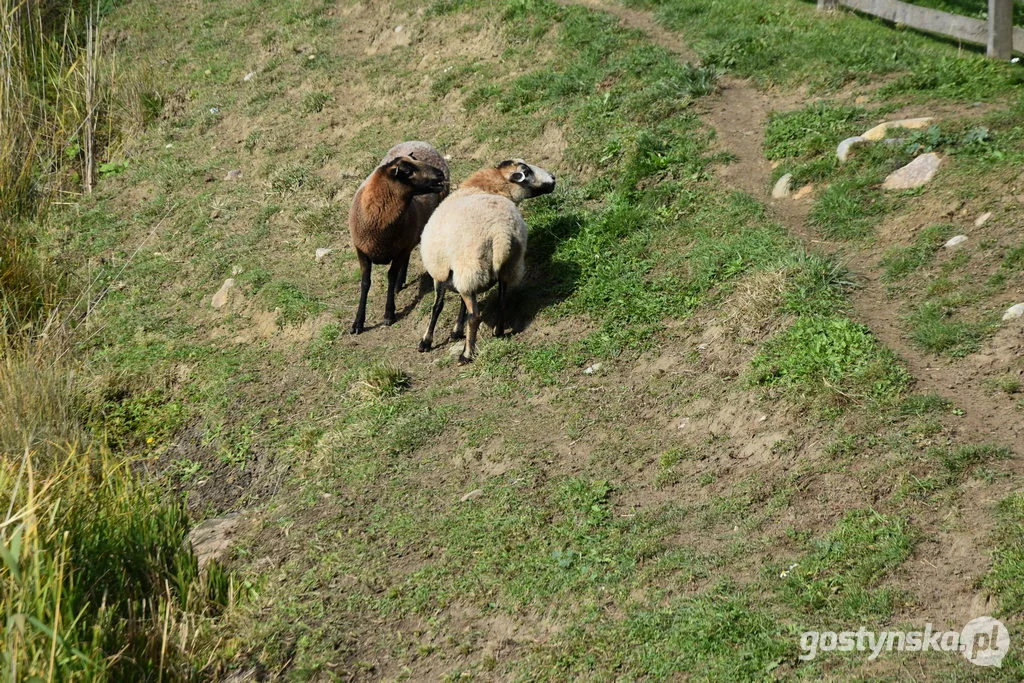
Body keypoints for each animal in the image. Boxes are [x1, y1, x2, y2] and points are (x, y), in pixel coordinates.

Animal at [348, 143, 448, 335]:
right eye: (408, 171)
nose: (440, 174)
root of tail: (421, 141)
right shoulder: (361, 250)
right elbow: (365, 283)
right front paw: (358, 323)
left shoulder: (401, 248)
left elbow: (390, 275)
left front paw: (389, 314)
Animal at [417, 159, 557, 362]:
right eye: (527, 171)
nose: (553, 178)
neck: (485, 186)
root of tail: (501, 233)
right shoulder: (457, 274)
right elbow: (456, 304)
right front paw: (456, 331)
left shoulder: (442, 272)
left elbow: (437, 307)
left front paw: (426, 341)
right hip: (508, 266)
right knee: (502, 301)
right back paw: (498, 332)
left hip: (470, 265)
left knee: (474, 316)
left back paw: (466, 354)